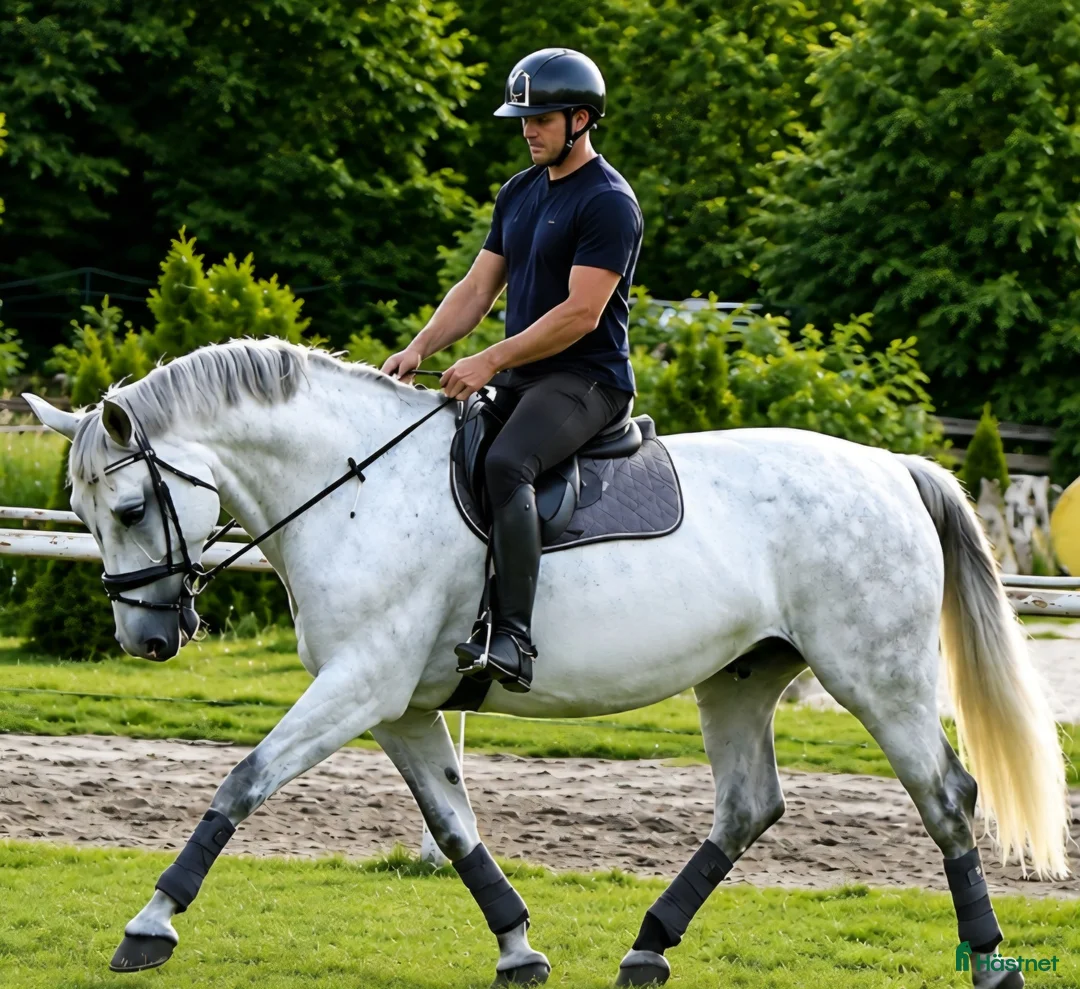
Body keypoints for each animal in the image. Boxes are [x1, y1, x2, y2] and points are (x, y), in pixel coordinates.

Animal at [26, 338, 1068, 988]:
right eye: (84, 516)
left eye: (128, 510)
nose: (146, 640)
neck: (355, 487)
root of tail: (893, 465)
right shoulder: (400, 705)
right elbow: (453, 827)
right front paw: (518, 946)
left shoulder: (357, 687)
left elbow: (242, 781)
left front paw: (150, 923)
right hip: (740, 676)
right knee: (749, 806)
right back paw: (648, 946)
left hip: (876, 677)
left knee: (946, 795)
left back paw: (990, 958)